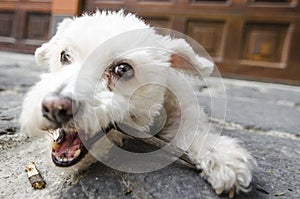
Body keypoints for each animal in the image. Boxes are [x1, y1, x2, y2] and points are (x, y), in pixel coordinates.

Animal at [20, 10, 255, 197]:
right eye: (64, 55)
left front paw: (223, 159)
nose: (54, 107)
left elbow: (194, 130)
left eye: (123, 69)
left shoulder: (183, 105)